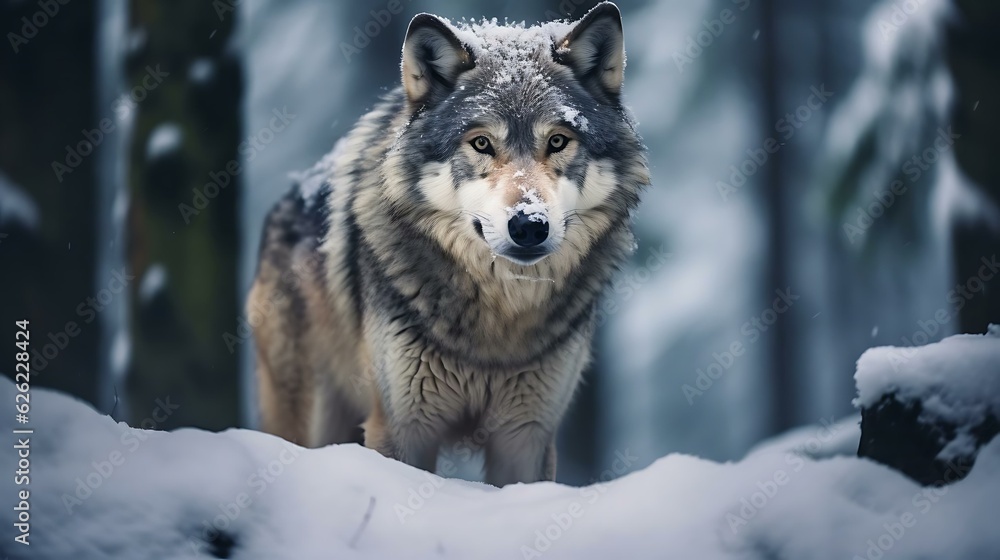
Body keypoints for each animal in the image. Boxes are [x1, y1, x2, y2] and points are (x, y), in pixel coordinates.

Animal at [249, 2, 648, 486]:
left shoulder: (526, 434)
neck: (500, 316)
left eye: (557, 141)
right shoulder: (403, 426)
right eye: (481, 143)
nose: (529, 225)